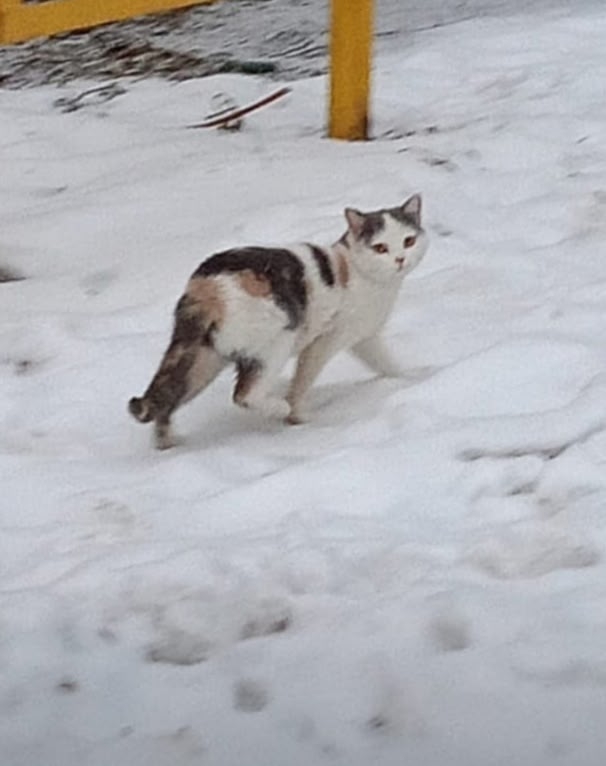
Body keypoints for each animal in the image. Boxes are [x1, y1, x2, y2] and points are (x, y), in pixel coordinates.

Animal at [129, 194, 428, 449]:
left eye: (409, 241)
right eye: (380, 248)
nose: (400, 259)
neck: (361, 275)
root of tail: (204, 289)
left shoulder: (365, 337)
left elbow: (387, 364)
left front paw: (407, 380)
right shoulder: (323, 342)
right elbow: (301, 382)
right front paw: (296, 416)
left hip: (201, 362)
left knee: (165, 401)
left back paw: (168, 444)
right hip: (278, 339)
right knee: (243, 394)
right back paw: (277, 407)